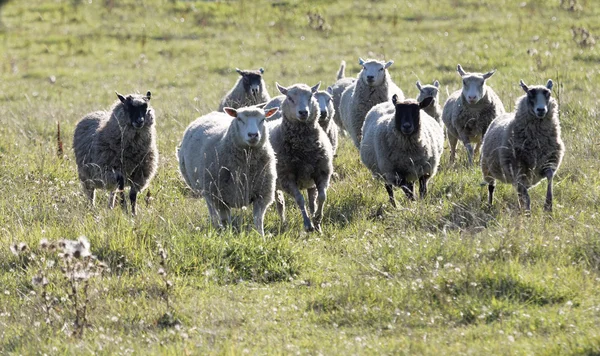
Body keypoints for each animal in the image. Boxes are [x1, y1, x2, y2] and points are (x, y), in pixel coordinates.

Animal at [177, 105, 280, 236]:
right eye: (239, 119)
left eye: (263, 119)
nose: (253, 135)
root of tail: (212, 113)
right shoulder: (219, 197)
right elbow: (225, 220)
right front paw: (227, 235)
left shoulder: (262, 195)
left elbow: (258, 220)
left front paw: (260, 237)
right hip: (208, 190)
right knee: (213, 212)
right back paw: (216, 226)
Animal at [270, 83, 336, 234]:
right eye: (289, 98)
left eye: (311, 96)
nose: (303, 112)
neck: (304, 149)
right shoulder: (287, 178)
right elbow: (300, 200)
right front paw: (307, 224)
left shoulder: (322, 173)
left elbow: (322, 197)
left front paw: (317, 219)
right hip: (273, 182)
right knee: (280, 204)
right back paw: (284, 223)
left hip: (309, 180)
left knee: (312, 200)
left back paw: (317, 225)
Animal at [480, 79, 564, 213]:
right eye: (530, 94)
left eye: (548, 93)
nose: (541, 110)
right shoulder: (518, 168)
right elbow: (526, 196)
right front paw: (528, 211)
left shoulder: (549, 161)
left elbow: (550, 178)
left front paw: (548, 206)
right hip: (488, 168)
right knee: (491, 187)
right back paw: (490, 205)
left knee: (519, 192)